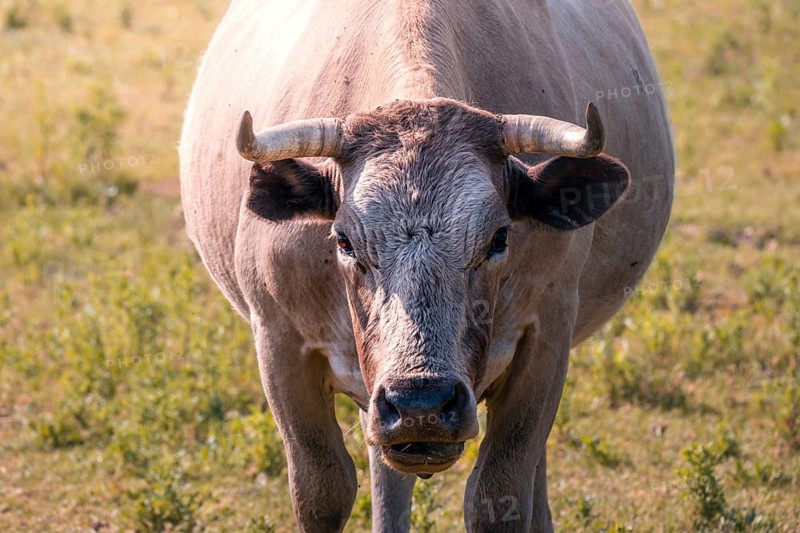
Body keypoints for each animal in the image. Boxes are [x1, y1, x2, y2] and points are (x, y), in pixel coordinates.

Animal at [179, 0, 674, 531]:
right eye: (344, 241)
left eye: (499, 238)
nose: (422, 405)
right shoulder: (279, 341)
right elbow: (323, 492)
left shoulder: (547, 336)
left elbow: (498, 494)